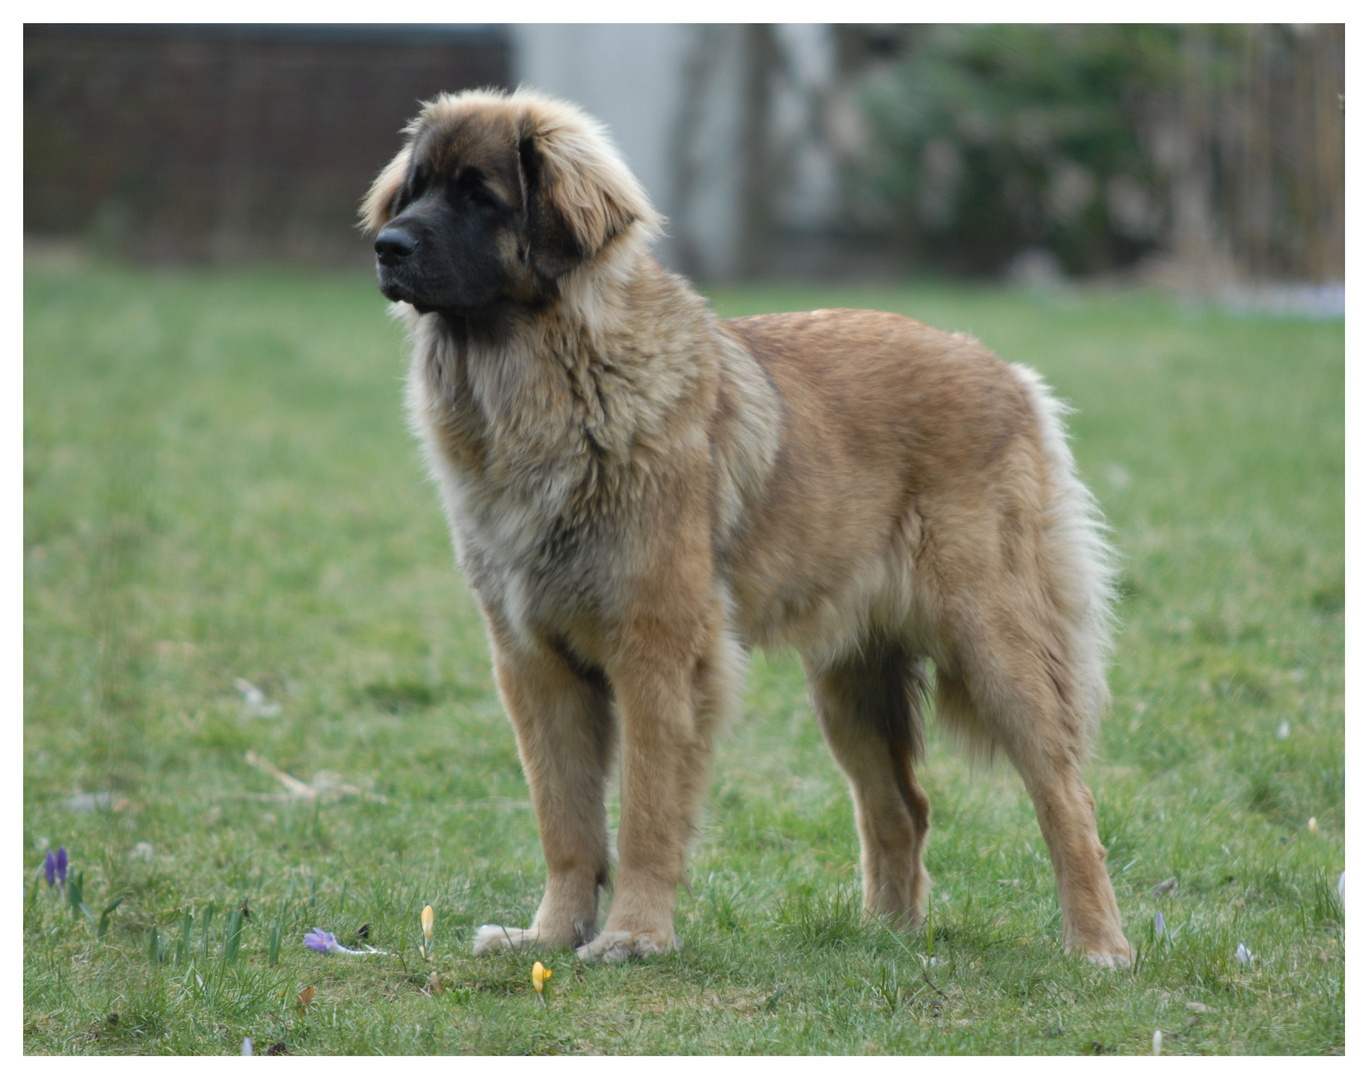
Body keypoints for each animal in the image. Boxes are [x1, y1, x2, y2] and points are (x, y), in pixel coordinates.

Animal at [361, 90, 1133, 969]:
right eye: (414, 189)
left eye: (477, 195)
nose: (385, 247)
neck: (546, 380)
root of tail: (1009, 374)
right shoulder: (534, 663)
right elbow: (566, 821)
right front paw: (550, 935)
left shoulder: (658, 652)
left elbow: (647, 811)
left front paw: (633, 935)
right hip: (848, 681)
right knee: (901, 806)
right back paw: (884, 937)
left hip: (995, 641)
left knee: (1066, 797)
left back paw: (1097, 945)